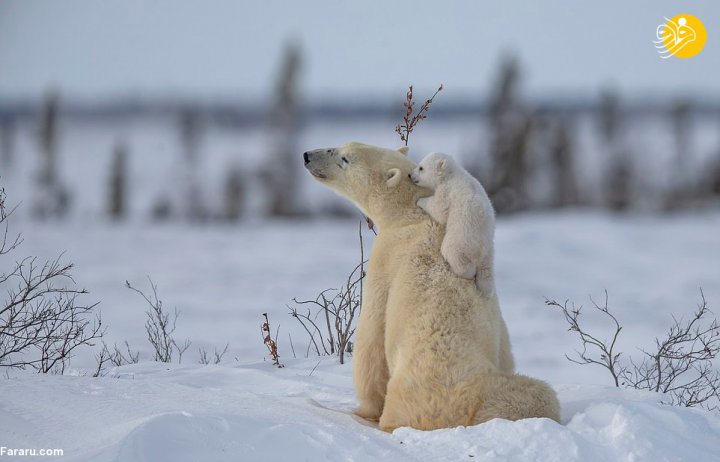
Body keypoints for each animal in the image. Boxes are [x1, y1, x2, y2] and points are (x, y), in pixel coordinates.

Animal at [300, 143, 560, 432]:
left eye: (344, 158)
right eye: (339, 147)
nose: (308, 156)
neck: (412, 216)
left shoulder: (386, 258)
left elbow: (372, 337)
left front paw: (363, 408)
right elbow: (504, 344)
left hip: (409, 395)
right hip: (499, 391)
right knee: (536, 397)